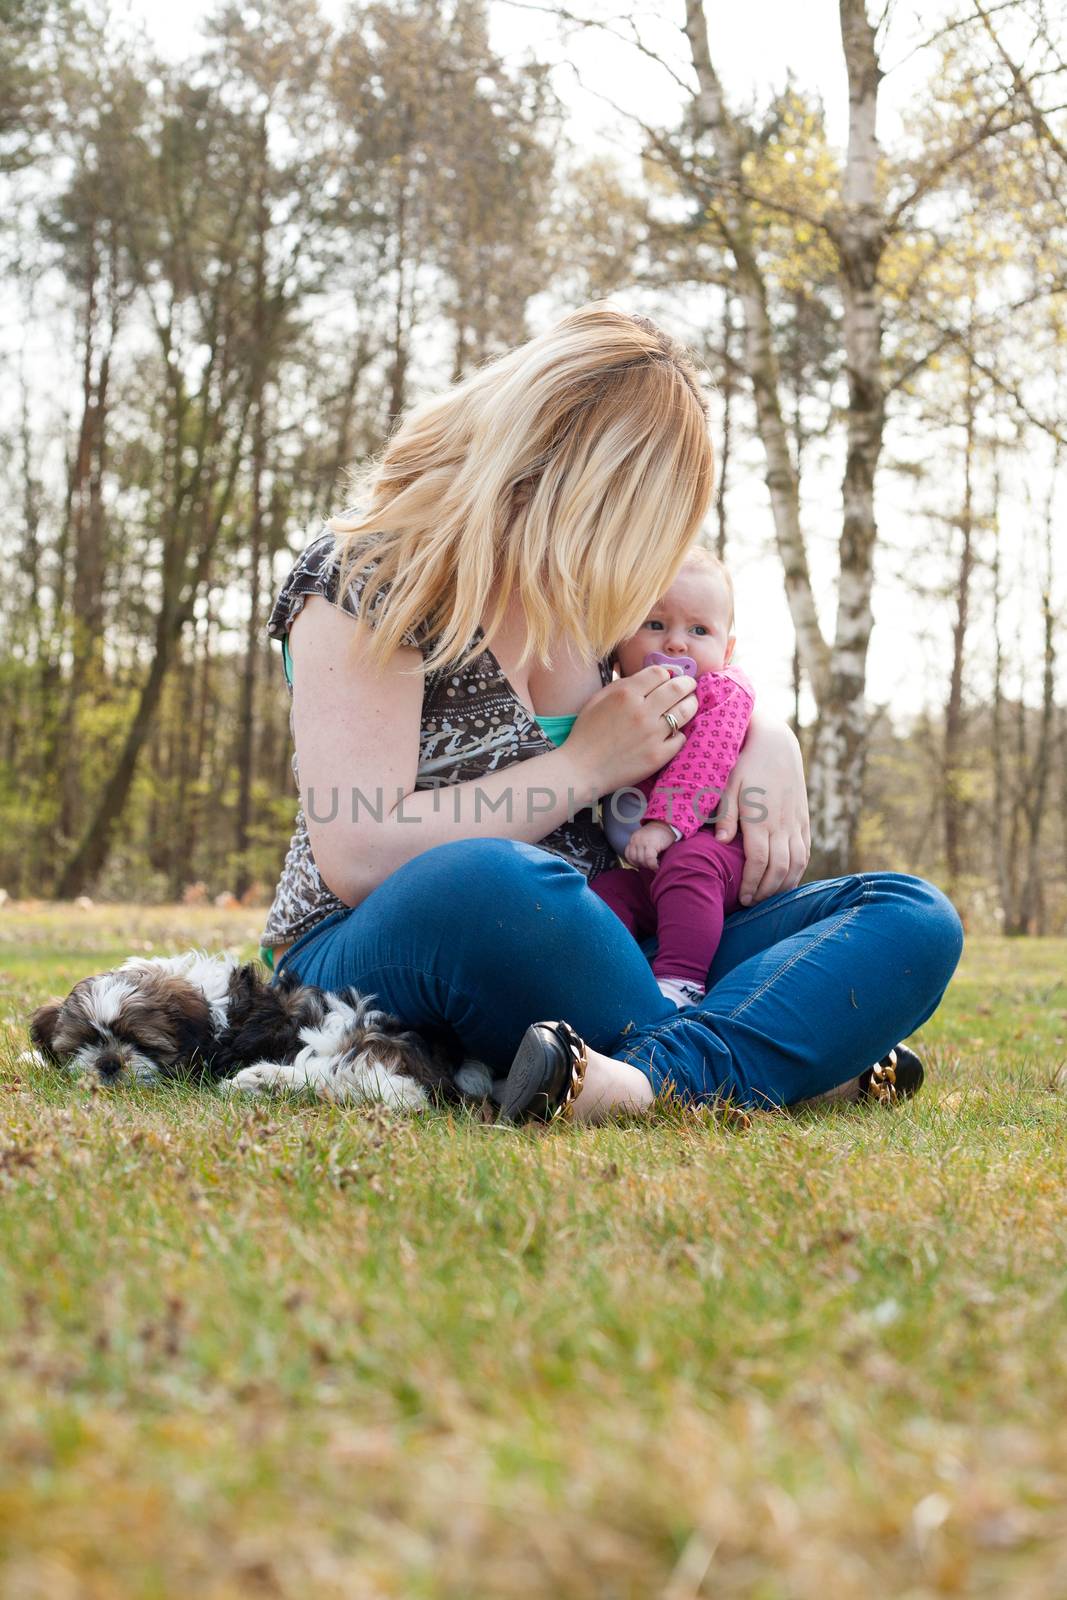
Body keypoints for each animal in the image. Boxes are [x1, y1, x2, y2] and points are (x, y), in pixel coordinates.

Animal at [25, 940, 492, 1107]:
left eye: (140, 1042)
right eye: (84, 1042)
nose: (108, 1064)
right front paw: (33, 1056)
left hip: (337, 1039)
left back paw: (263, 1079)